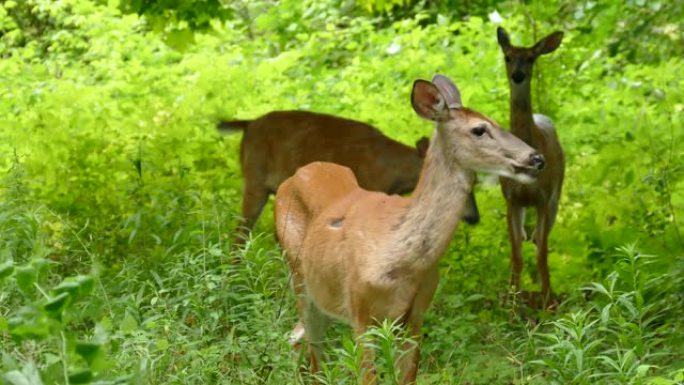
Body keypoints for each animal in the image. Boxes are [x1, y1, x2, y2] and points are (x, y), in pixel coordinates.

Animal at [272, 73, 544, 382]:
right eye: (479, 129)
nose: (536, 158)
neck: (399, 261)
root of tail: (291, 179)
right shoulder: (361, 313)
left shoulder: (415, 317)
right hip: (300, 279)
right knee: (314, 357)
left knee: (295, 338)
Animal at [496, 27, 568, 308]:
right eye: (507, 56)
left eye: (530, 58)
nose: (518, 75)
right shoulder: (511, 199)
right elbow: (516, 253)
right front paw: (511, 303)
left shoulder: (543, 198)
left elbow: (542, 252)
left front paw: (549, 302)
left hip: (556, 197)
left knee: (538, 239)